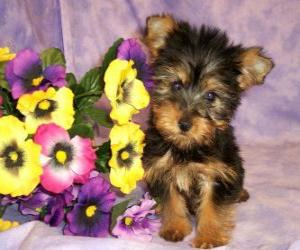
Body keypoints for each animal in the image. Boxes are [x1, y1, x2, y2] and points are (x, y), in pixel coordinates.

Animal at [142, 14, 274, 248]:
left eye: (211, 96)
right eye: (176, 85)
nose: (184, 124)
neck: (187, 147)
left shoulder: (218, 174)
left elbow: (213, 207)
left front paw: (209, 236)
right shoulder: (162, 169)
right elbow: (171, 200)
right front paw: (175, 227)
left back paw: (240, 193)